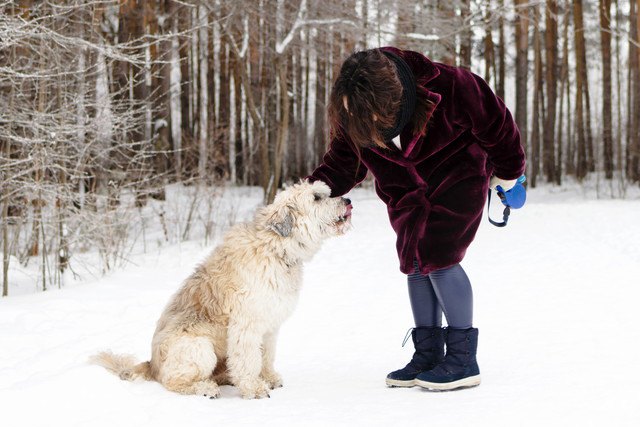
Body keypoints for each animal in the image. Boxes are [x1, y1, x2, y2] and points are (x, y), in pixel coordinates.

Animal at [91, 179, 350, 400]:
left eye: (325, 193)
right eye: (316, 198)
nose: (347, 201)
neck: (275, 248)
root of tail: (151, 365)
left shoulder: (269, 326)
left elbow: (266, 356)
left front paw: (268, 378)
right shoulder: (246, 326)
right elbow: (249, 359)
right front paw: (254, 388)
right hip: (199, 348)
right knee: (174, 382)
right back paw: (206, 388)